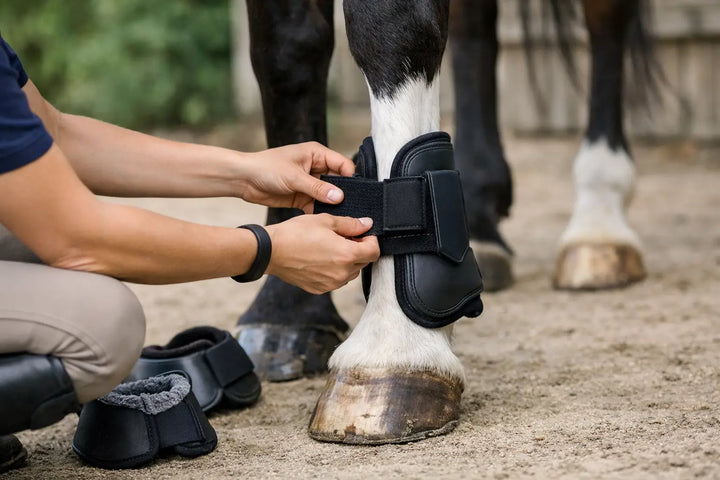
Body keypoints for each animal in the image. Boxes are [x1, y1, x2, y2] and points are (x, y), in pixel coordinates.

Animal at [237, 0, 659, 444]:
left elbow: (394, 31)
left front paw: (392, 351)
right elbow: (286, 51)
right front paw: (286, 309)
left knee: (606, 21)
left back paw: (599, 222)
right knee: (474, 25)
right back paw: (482, 218)